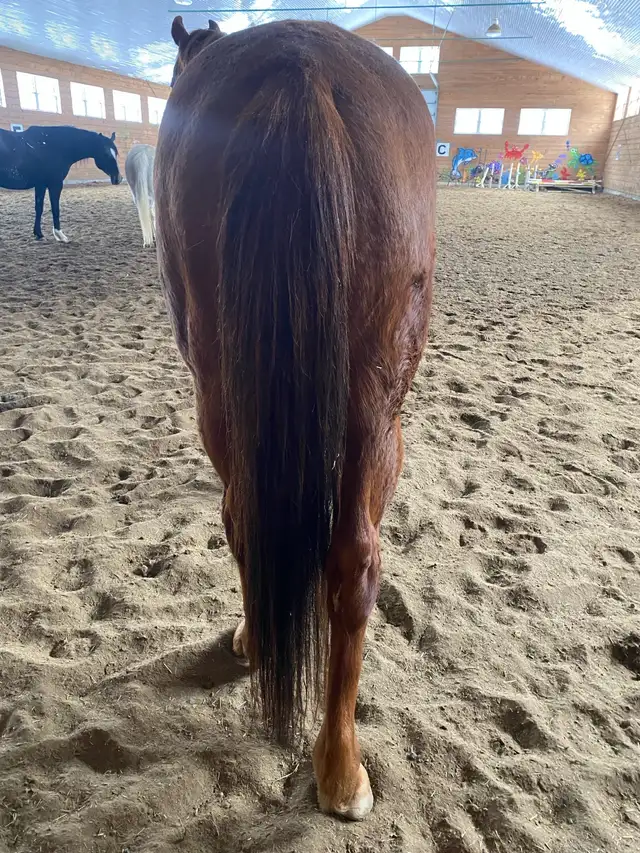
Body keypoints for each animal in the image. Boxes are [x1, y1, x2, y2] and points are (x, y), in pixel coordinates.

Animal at [156, 16, 435, 820]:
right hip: (377, 406)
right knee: (355, 561)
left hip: (222, 394)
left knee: (243, 518)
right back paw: (341, 768)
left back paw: (259, 644)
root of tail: (300, 68)